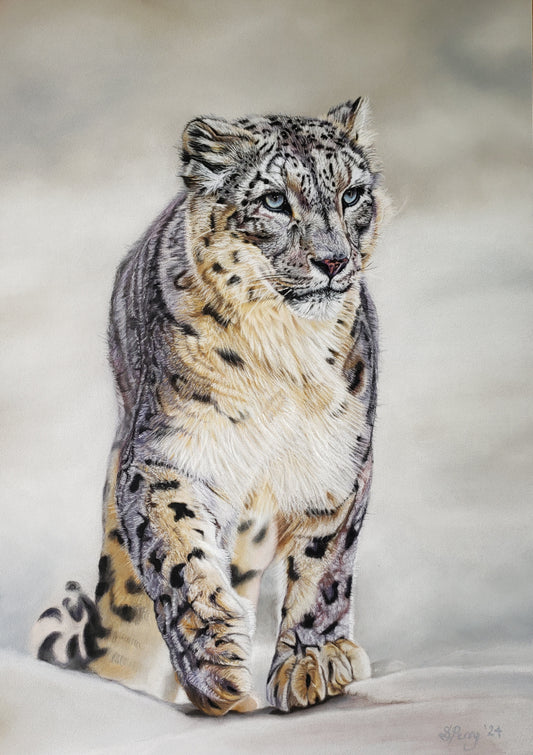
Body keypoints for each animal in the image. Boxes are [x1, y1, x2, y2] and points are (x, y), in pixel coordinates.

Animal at [31, 98, 388, 715]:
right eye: (275, 201)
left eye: (351, 194)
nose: (332, 260)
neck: (288, 356)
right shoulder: (170, 456)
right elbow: (177, 552)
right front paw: (216, 662)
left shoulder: (336, 462)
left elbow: (325, 566)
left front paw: (312, 660)